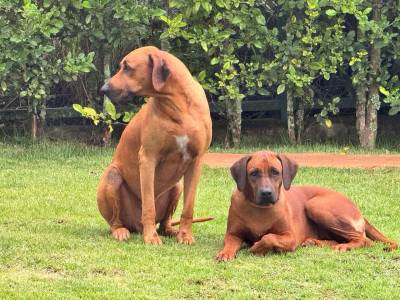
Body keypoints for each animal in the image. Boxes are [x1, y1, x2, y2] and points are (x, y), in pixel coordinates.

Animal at [216, 151, 396, 262]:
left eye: (275, 172)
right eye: (253, 173)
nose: (266, 193)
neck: (259, 208)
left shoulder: (290, 237)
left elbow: (269, 237)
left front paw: (258, 247)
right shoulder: (233, 234)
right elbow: (230, 243)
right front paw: (225, 253)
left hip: (315, 205)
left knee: (364, 240)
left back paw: (344, 246)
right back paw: (315, 242)